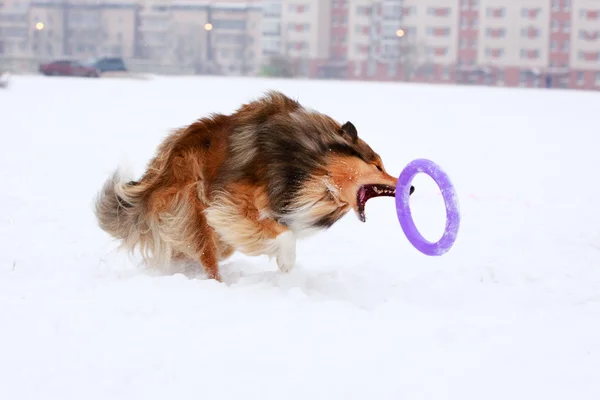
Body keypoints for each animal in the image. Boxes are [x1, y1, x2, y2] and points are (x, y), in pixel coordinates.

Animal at [95, 90, 412, 280]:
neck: (310, 163)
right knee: (207, 257)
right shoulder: (232, 202)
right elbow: (283, 234)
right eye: (378, 166)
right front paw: (286, 262)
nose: (410, 187)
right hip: (193, 214)